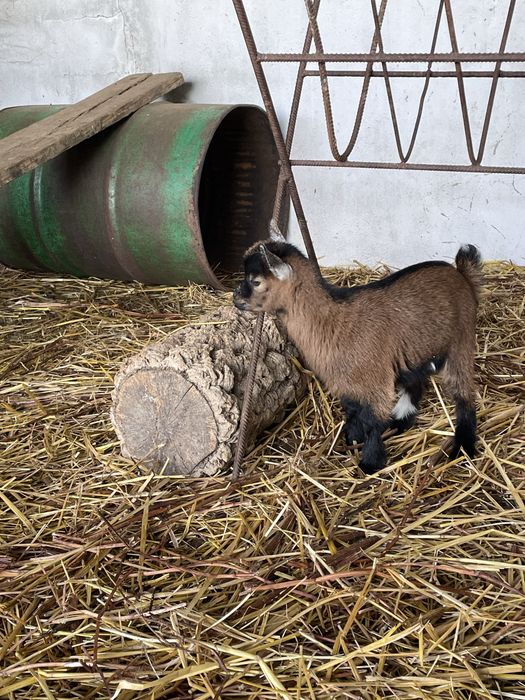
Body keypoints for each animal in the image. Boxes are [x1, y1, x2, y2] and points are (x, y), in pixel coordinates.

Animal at [233, 240, 482, 473]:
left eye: (255, 281)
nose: (236, 297)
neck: (333, 322)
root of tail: (461, 273)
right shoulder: (347, 382)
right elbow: (353, 411)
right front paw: (352, 439)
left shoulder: (376, 380)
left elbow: (373, 421)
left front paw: (370, 464)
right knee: (415, 383)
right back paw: (400, 422)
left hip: (461, 340)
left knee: (464, 395)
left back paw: (464, 446)